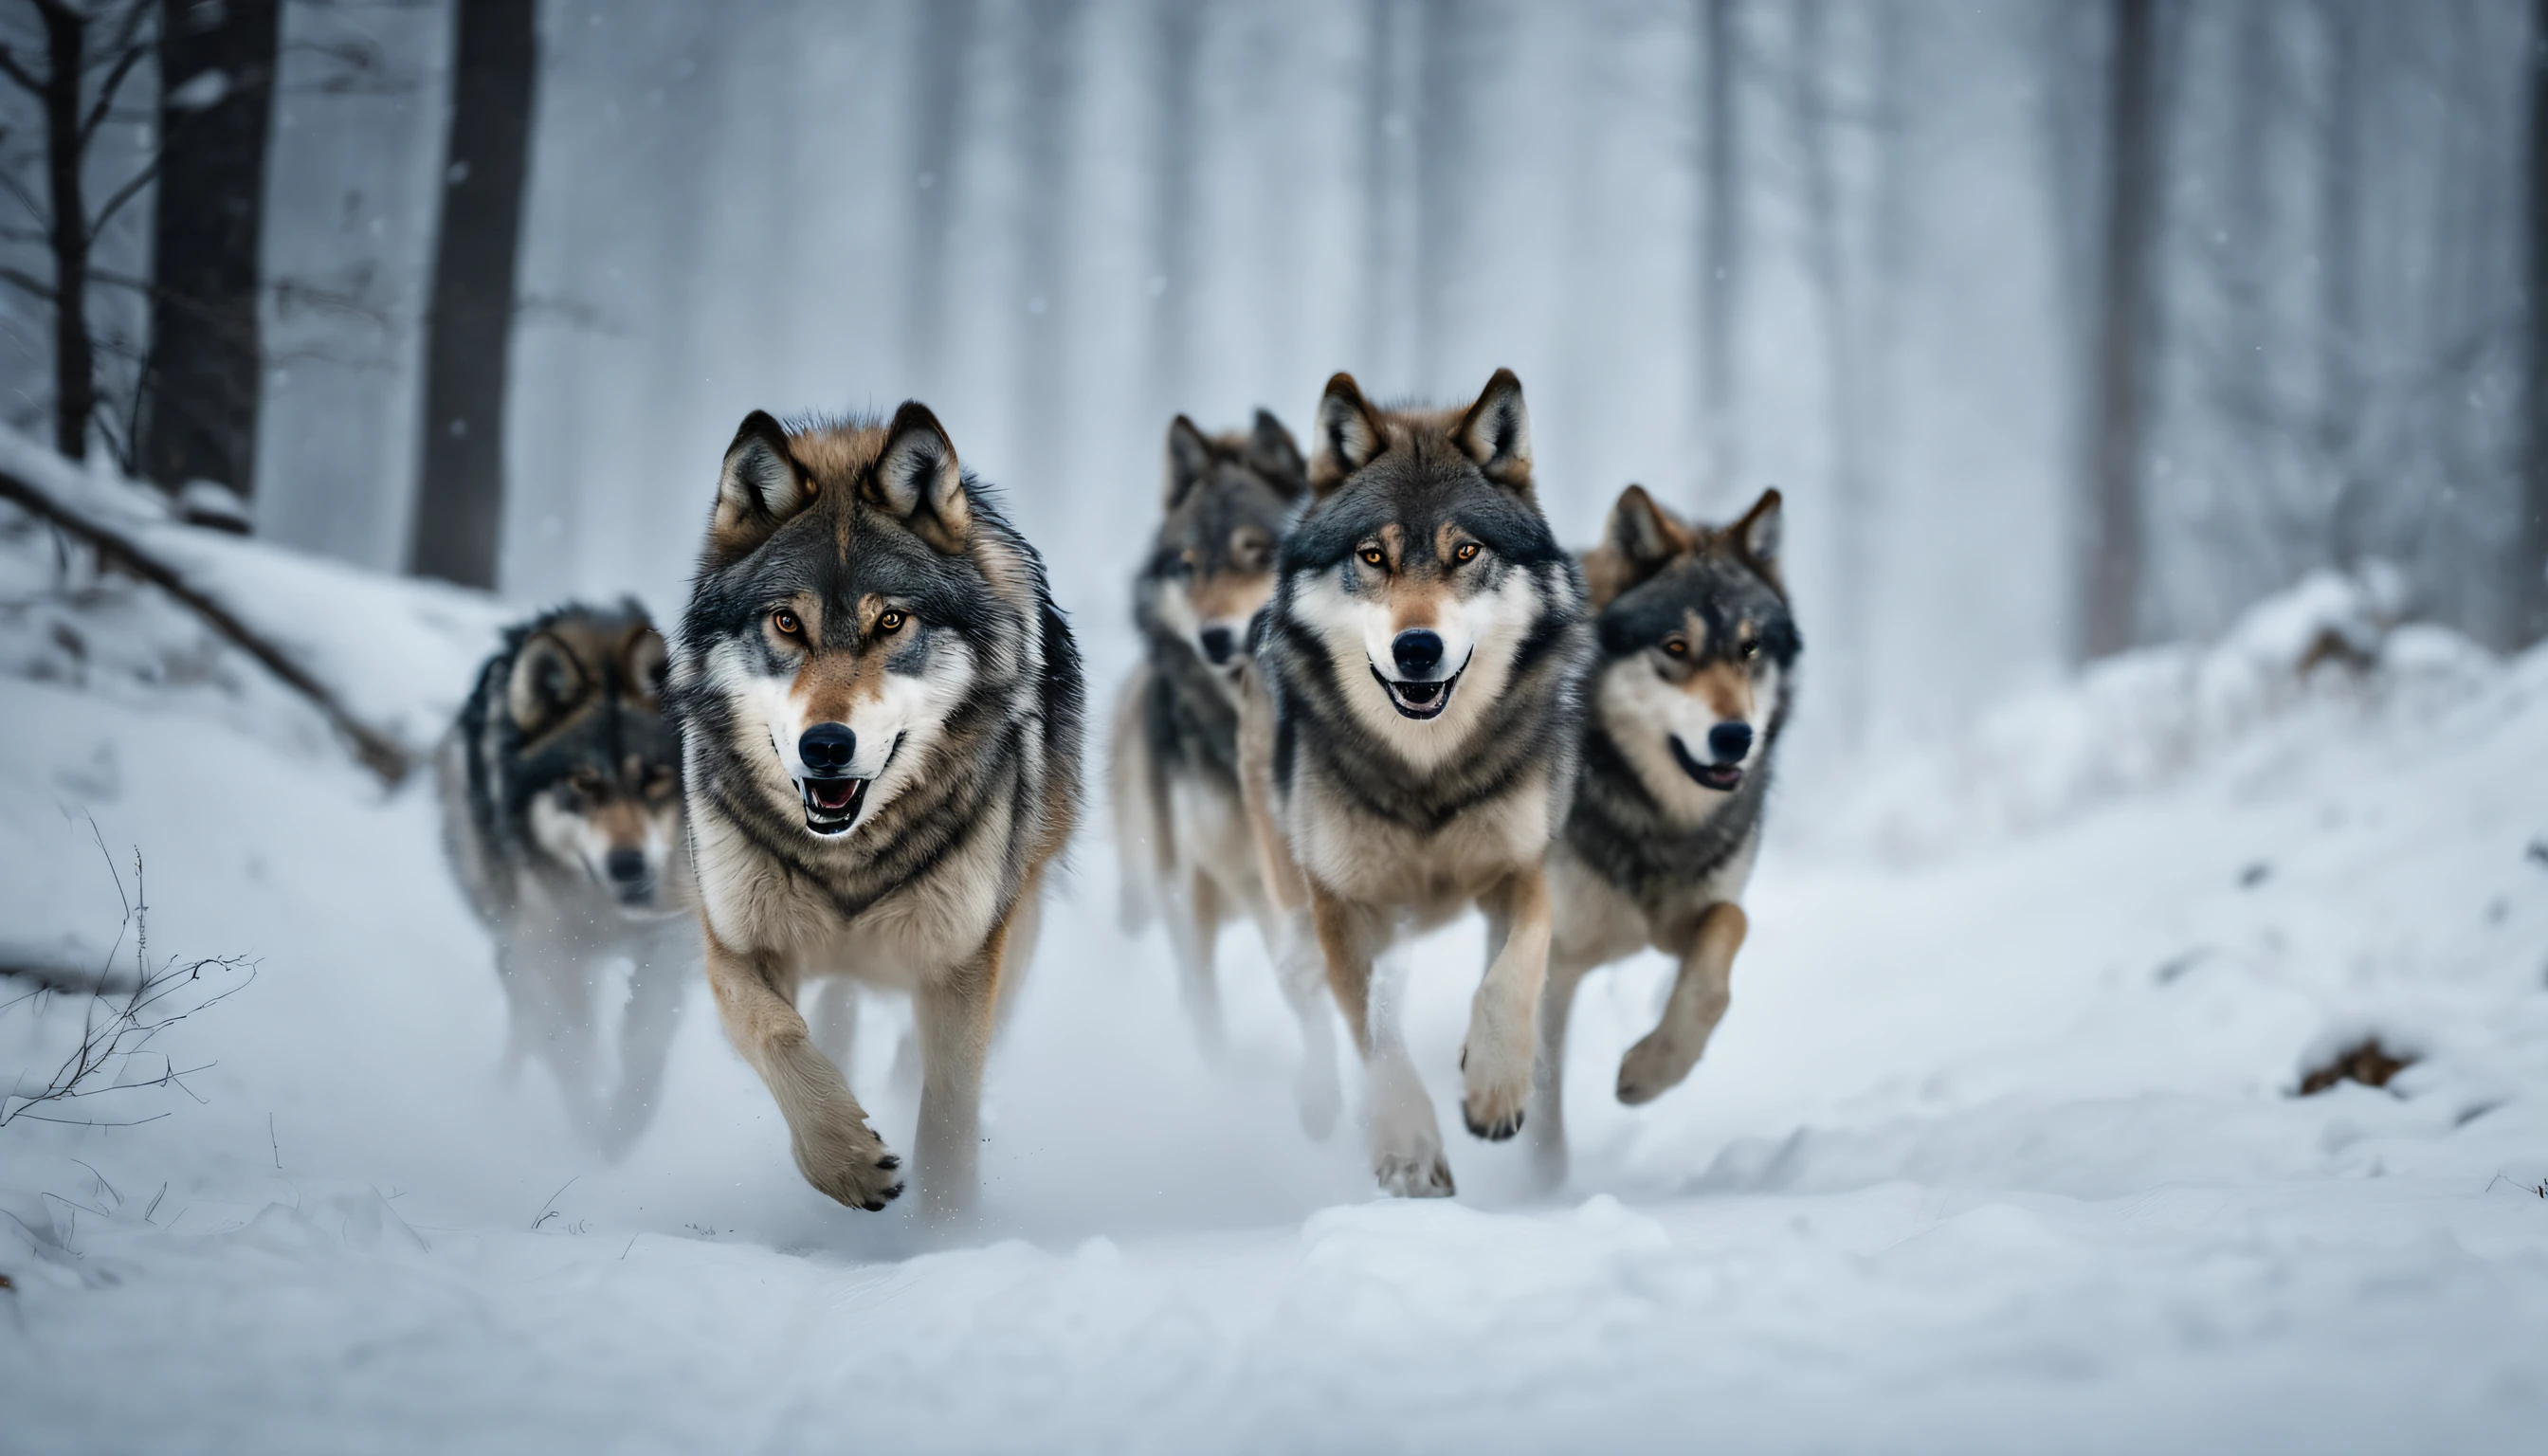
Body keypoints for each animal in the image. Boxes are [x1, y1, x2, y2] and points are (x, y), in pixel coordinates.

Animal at [438, 601, 698, 1162]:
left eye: (654, 778)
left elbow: (644, 1041)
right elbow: (568, 1046)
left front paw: (626, 1121)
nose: (629, 865)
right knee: (531, 1024)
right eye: (583, 782)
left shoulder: (671, 934)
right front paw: (592, 1127)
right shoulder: (545, 949)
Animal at [662, 397, 1080, 1218]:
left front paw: (946, 1230)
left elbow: (949, 1106)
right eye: (786, 623)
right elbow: (779, 1036)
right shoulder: (735, 945)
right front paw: (845, 1161)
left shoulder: (960, 961)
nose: (826, 745)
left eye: (891, 622)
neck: (846, 860)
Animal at [1238, 367, 1590, 1198]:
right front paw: (1406, 1149)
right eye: (1373, 556)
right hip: (1295, 889)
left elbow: (1514, 970)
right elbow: (1373, 1035)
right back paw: (1320, 1104)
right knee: (1311, 993)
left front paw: (1494, 1086)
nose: (1418, 648)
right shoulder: (1342, 903)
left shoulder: (1526, 867)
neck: (1425, 771)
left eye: (1465, 552)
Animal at [1519, 484, 1804, 1188]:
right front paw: (1538, 1192)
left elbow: (1723, 943)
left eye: (1750, 649)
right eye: (1676, 648)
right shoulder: (1555, 955)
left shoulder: (1694, 918)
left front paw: (1650, 1072)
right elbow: (1541, 1091)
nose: (1735, 737)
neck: (1657, 820)